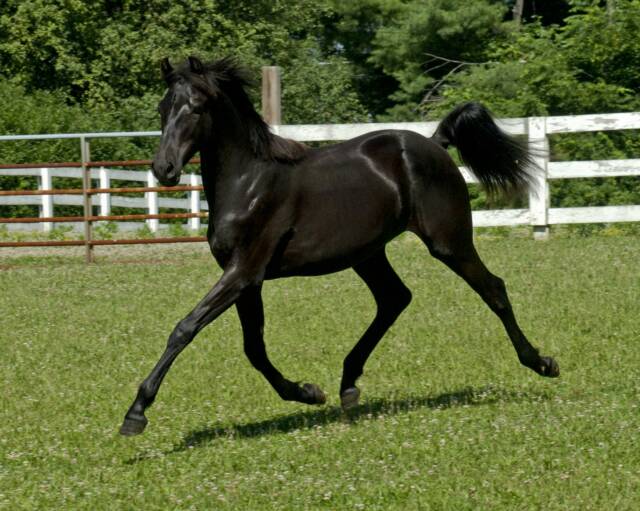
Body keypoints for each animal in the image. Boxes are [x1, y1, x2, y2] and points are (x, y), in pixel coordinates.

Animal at [119, 56, 559, 436]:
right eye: (163, 107)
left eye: (195, 107)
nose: (164, 169)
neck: (249, 181)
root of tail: (434, 143)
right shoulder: (247, 278)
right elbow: (253, 348)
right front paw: (308, 393)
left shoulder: (244, 271)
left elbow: (185, 328)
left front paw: (136, 413)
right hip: (368, 253)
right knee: (394, 298)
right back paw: (348, 384)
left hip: (448, 241)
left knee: (492, 288)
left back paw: (542, 363)